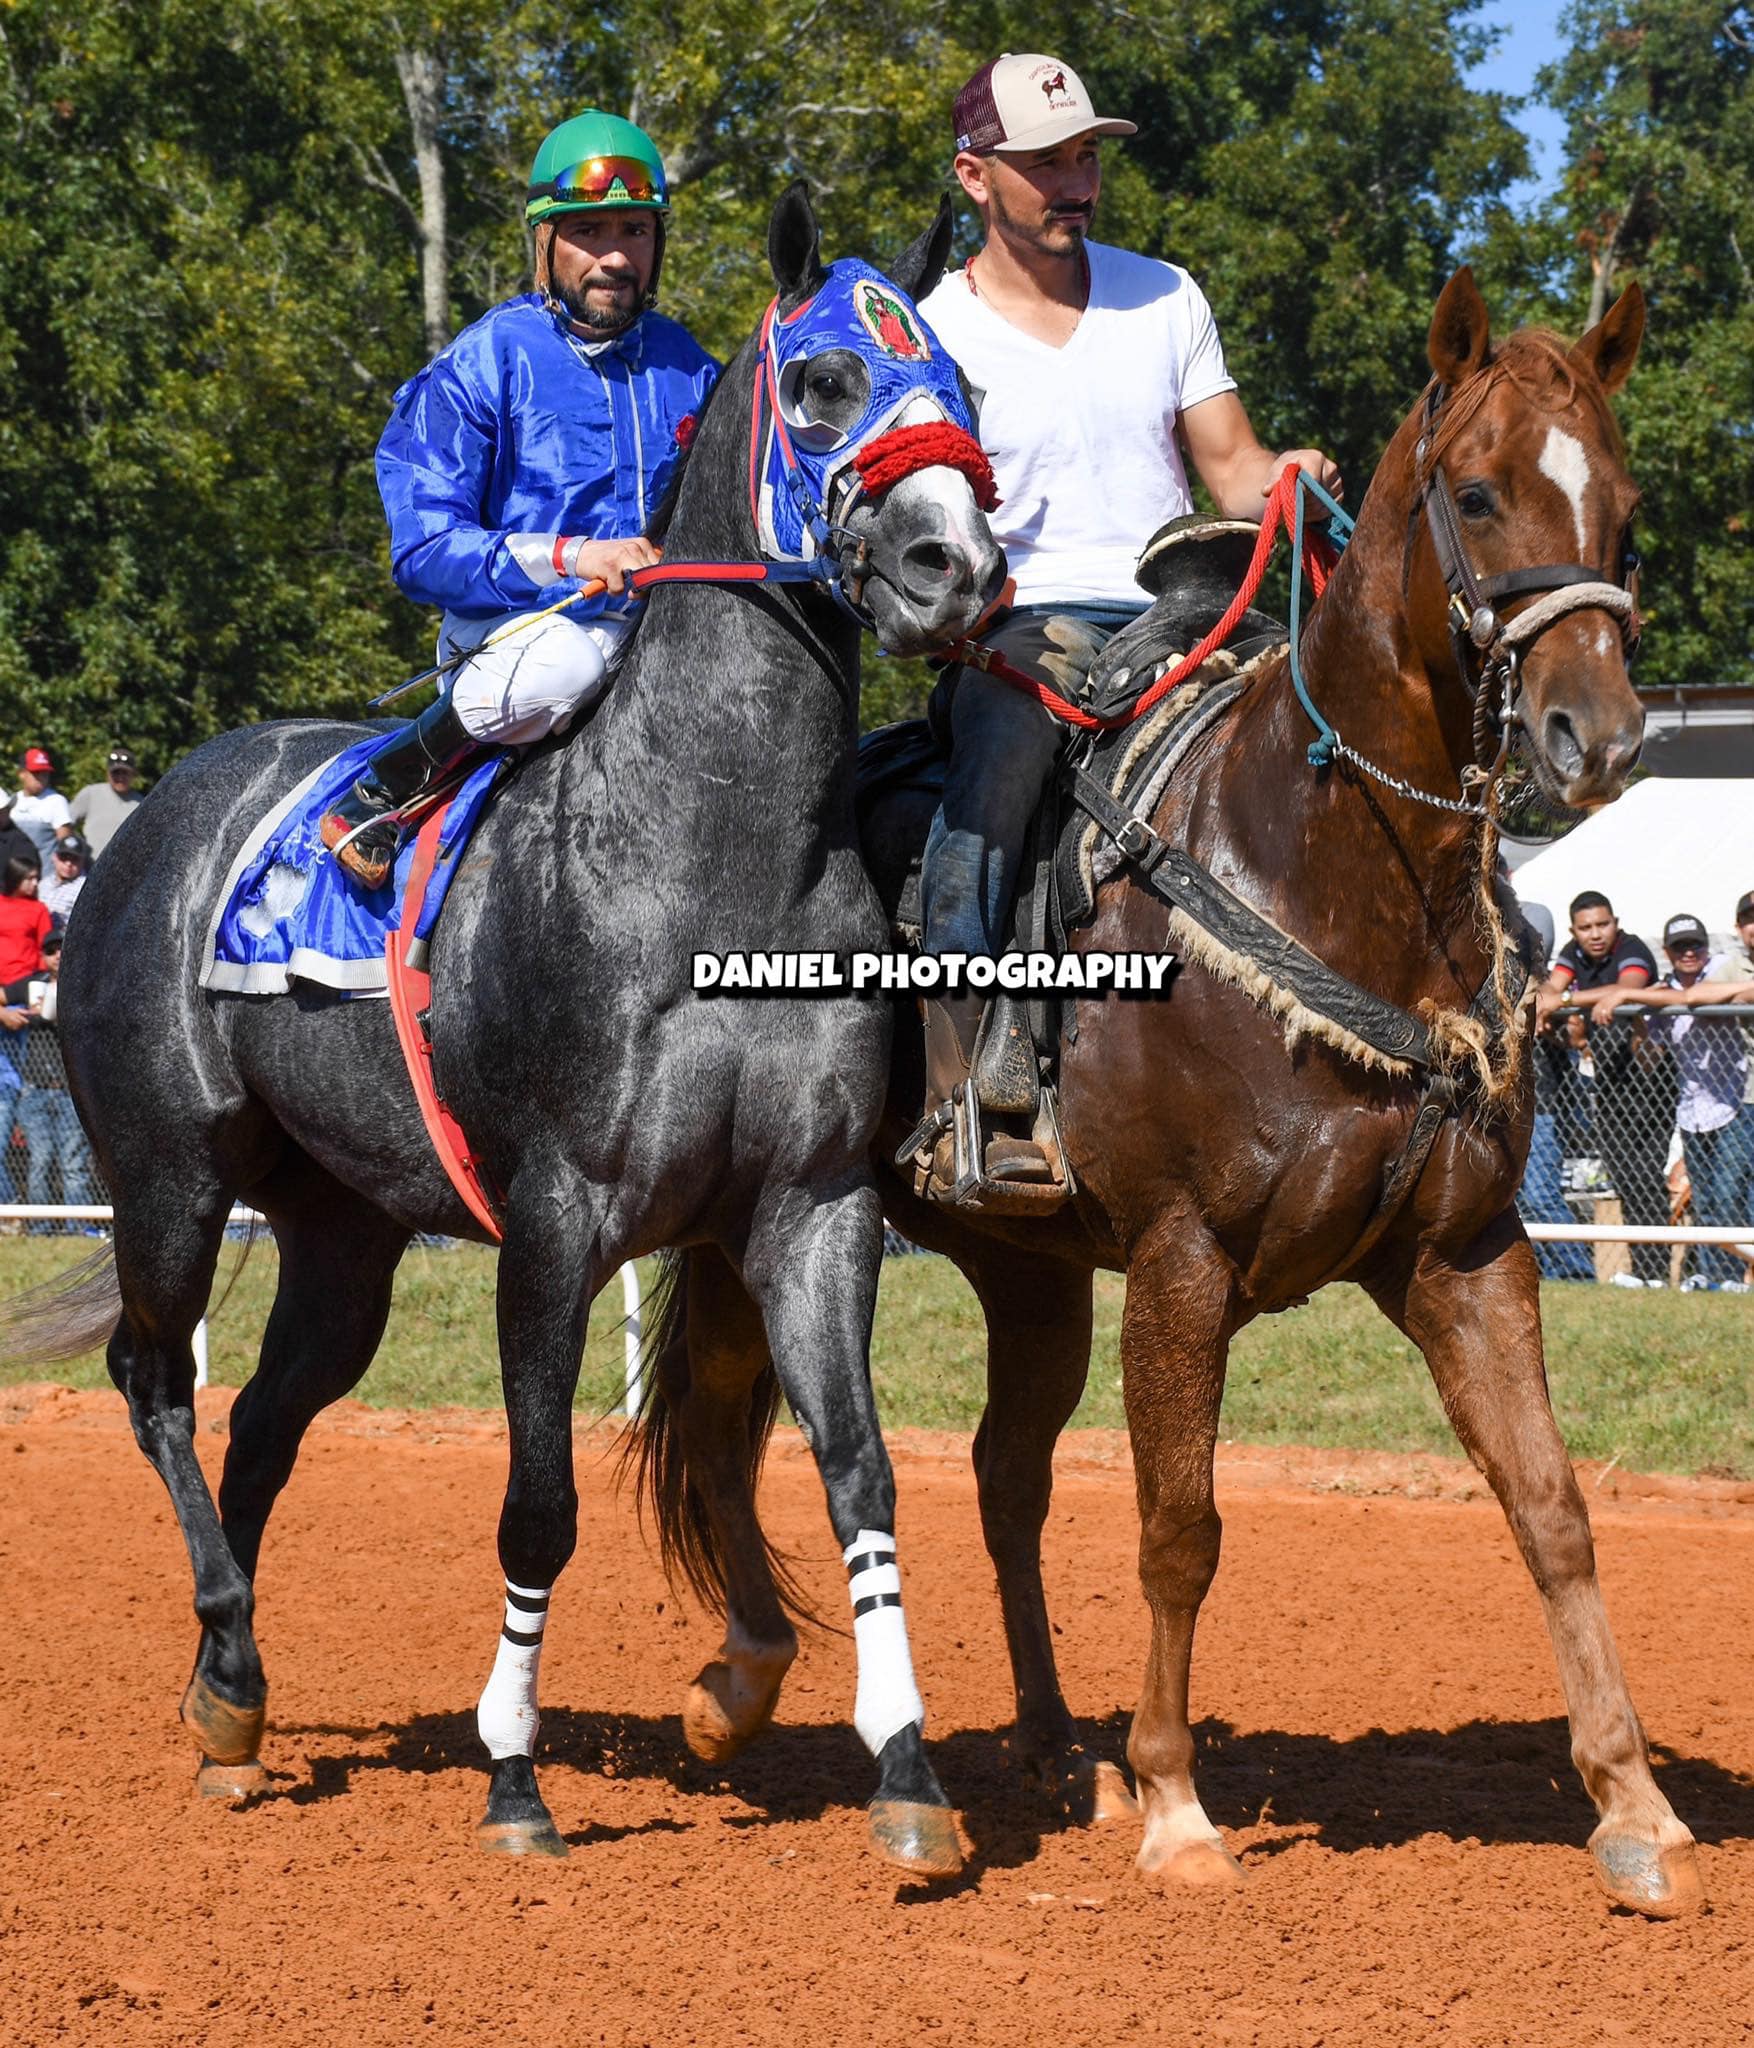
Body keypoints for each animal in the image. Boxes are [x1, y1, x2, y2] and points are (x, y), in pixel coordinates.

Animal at [0, 183, 1004, 1876]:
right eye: (821, 384)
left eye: (967, 393)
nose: (959, 567)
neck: (709, 851)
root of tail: (157, 821)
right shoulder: (554, 1217)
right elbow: (539, 1502)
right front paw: (516, 1776)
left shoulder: (811, 1207)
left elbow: (856, 1469)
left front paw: (909, 1774)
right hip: (168, 1174)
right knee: (157, 1384)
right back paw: (226, 1651)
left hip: (340, 1229)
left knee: (263, 1420)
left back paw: (231, 1691)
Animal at [629, 269, 1707, 1917]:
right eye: (1472, 491)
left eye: (1628, 514)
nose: (1597, 734)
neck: (1321, 866)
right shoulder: (1184, 1259)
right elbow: (1179, 1526)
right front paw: (1176, 1804)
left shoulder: (1464, 1254)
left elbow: (1550, 1508)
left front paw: (1631, 1802)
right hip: (757, 1226)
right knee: (729, 1416)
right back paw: (739, 1692)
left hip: (1024, 1273)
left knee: (1002, 1479)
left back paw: (1048, 1749)